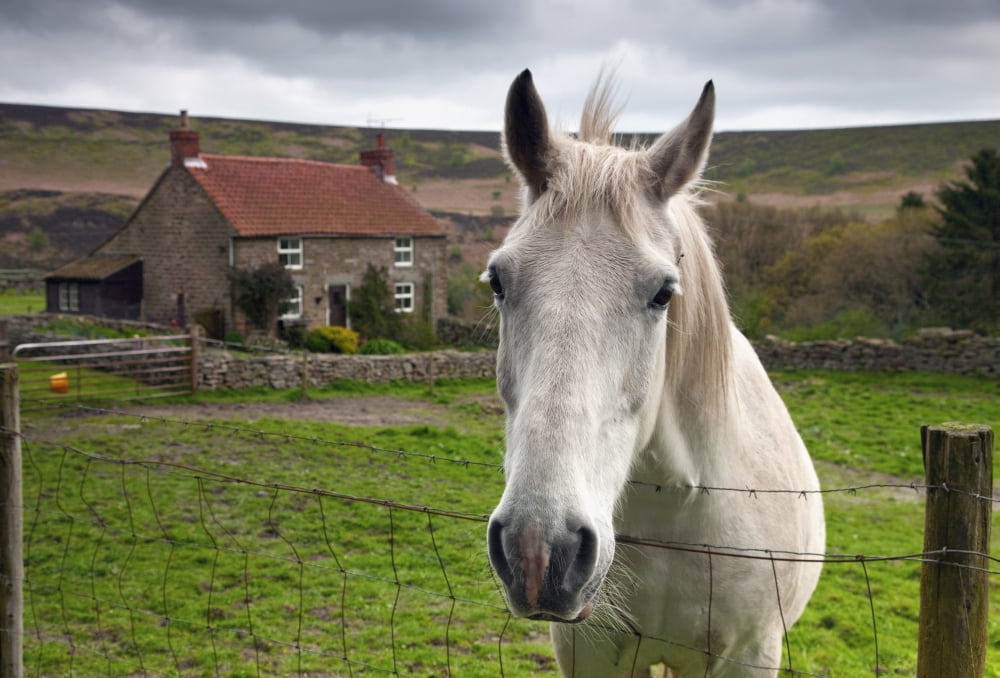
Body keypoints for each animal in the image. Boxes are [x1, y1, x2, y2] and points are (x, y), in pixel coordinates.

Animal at [485, 69, 826, 677]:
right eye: (498, 280)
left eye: (664, 293)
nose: (539, 550)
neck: (679, 504)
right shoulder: (590, 653)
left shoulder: (750, 655)